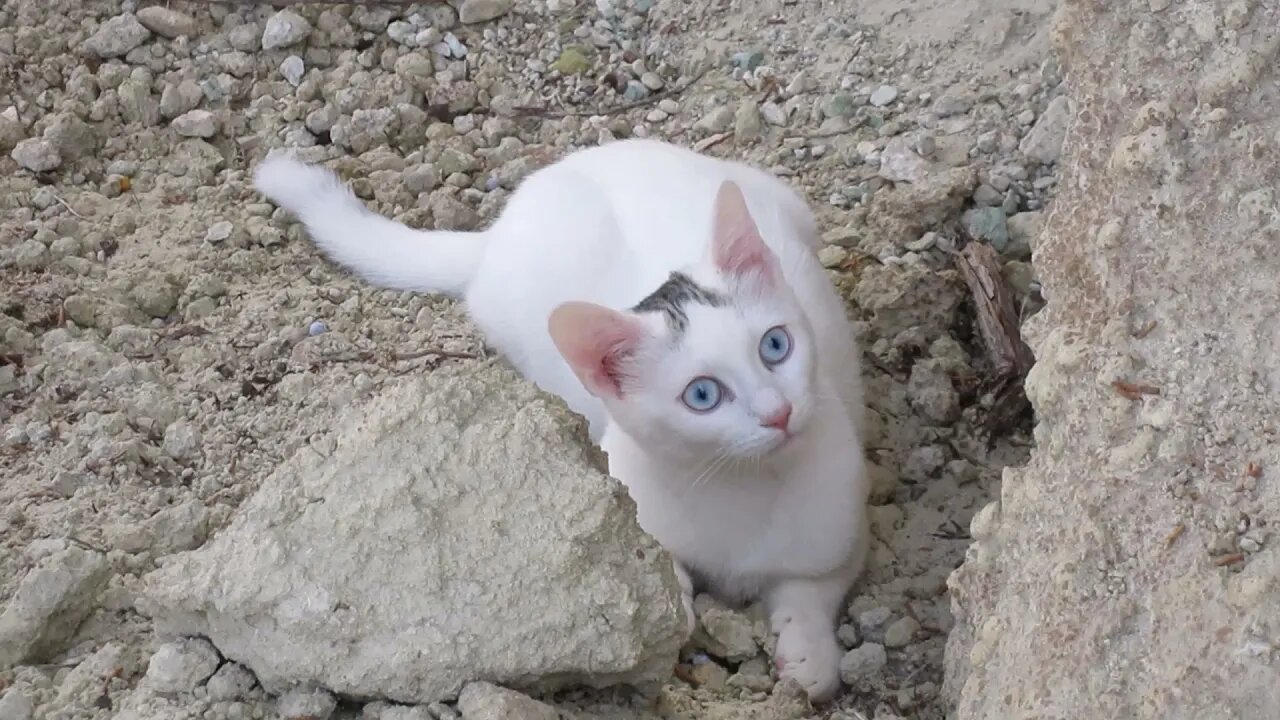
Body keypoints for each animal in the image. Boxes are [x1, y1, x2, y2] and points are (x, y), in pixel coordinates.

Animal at [252, 140, 870, 702]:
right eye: (702, 394)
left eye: (775, 345)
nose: (778, 412)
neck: (744, 487)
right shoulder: (627, 494)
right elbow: (662, 568)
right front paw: (675, 604)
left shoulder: (845, 521)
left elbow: (814, 586)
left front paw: (809, 653)